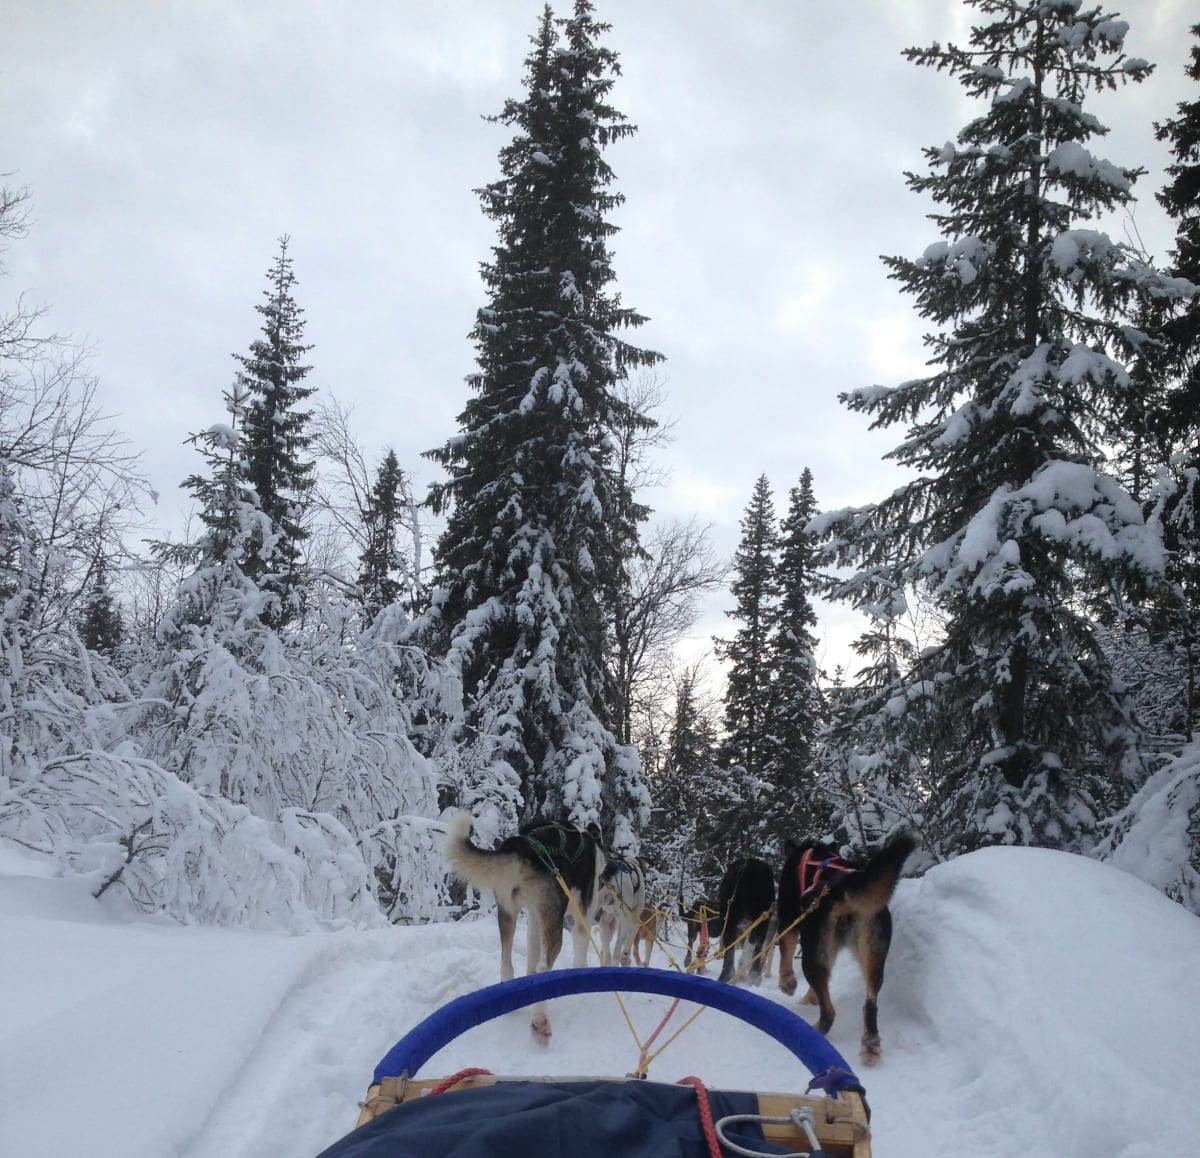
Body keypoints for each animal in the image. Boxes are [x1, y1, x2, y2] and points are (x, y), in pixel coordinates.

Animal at [772, 830, 912, 1065]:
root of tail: (842, 887)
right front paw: (810, 997)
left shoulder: (788, 919)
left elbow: (786, 952)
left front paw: (788, 984)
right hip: (873, 956)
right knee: (870, 1003)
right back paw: (870, 1045)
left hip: (811, 953)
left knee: (829, 1013)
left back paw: (815, 1030)